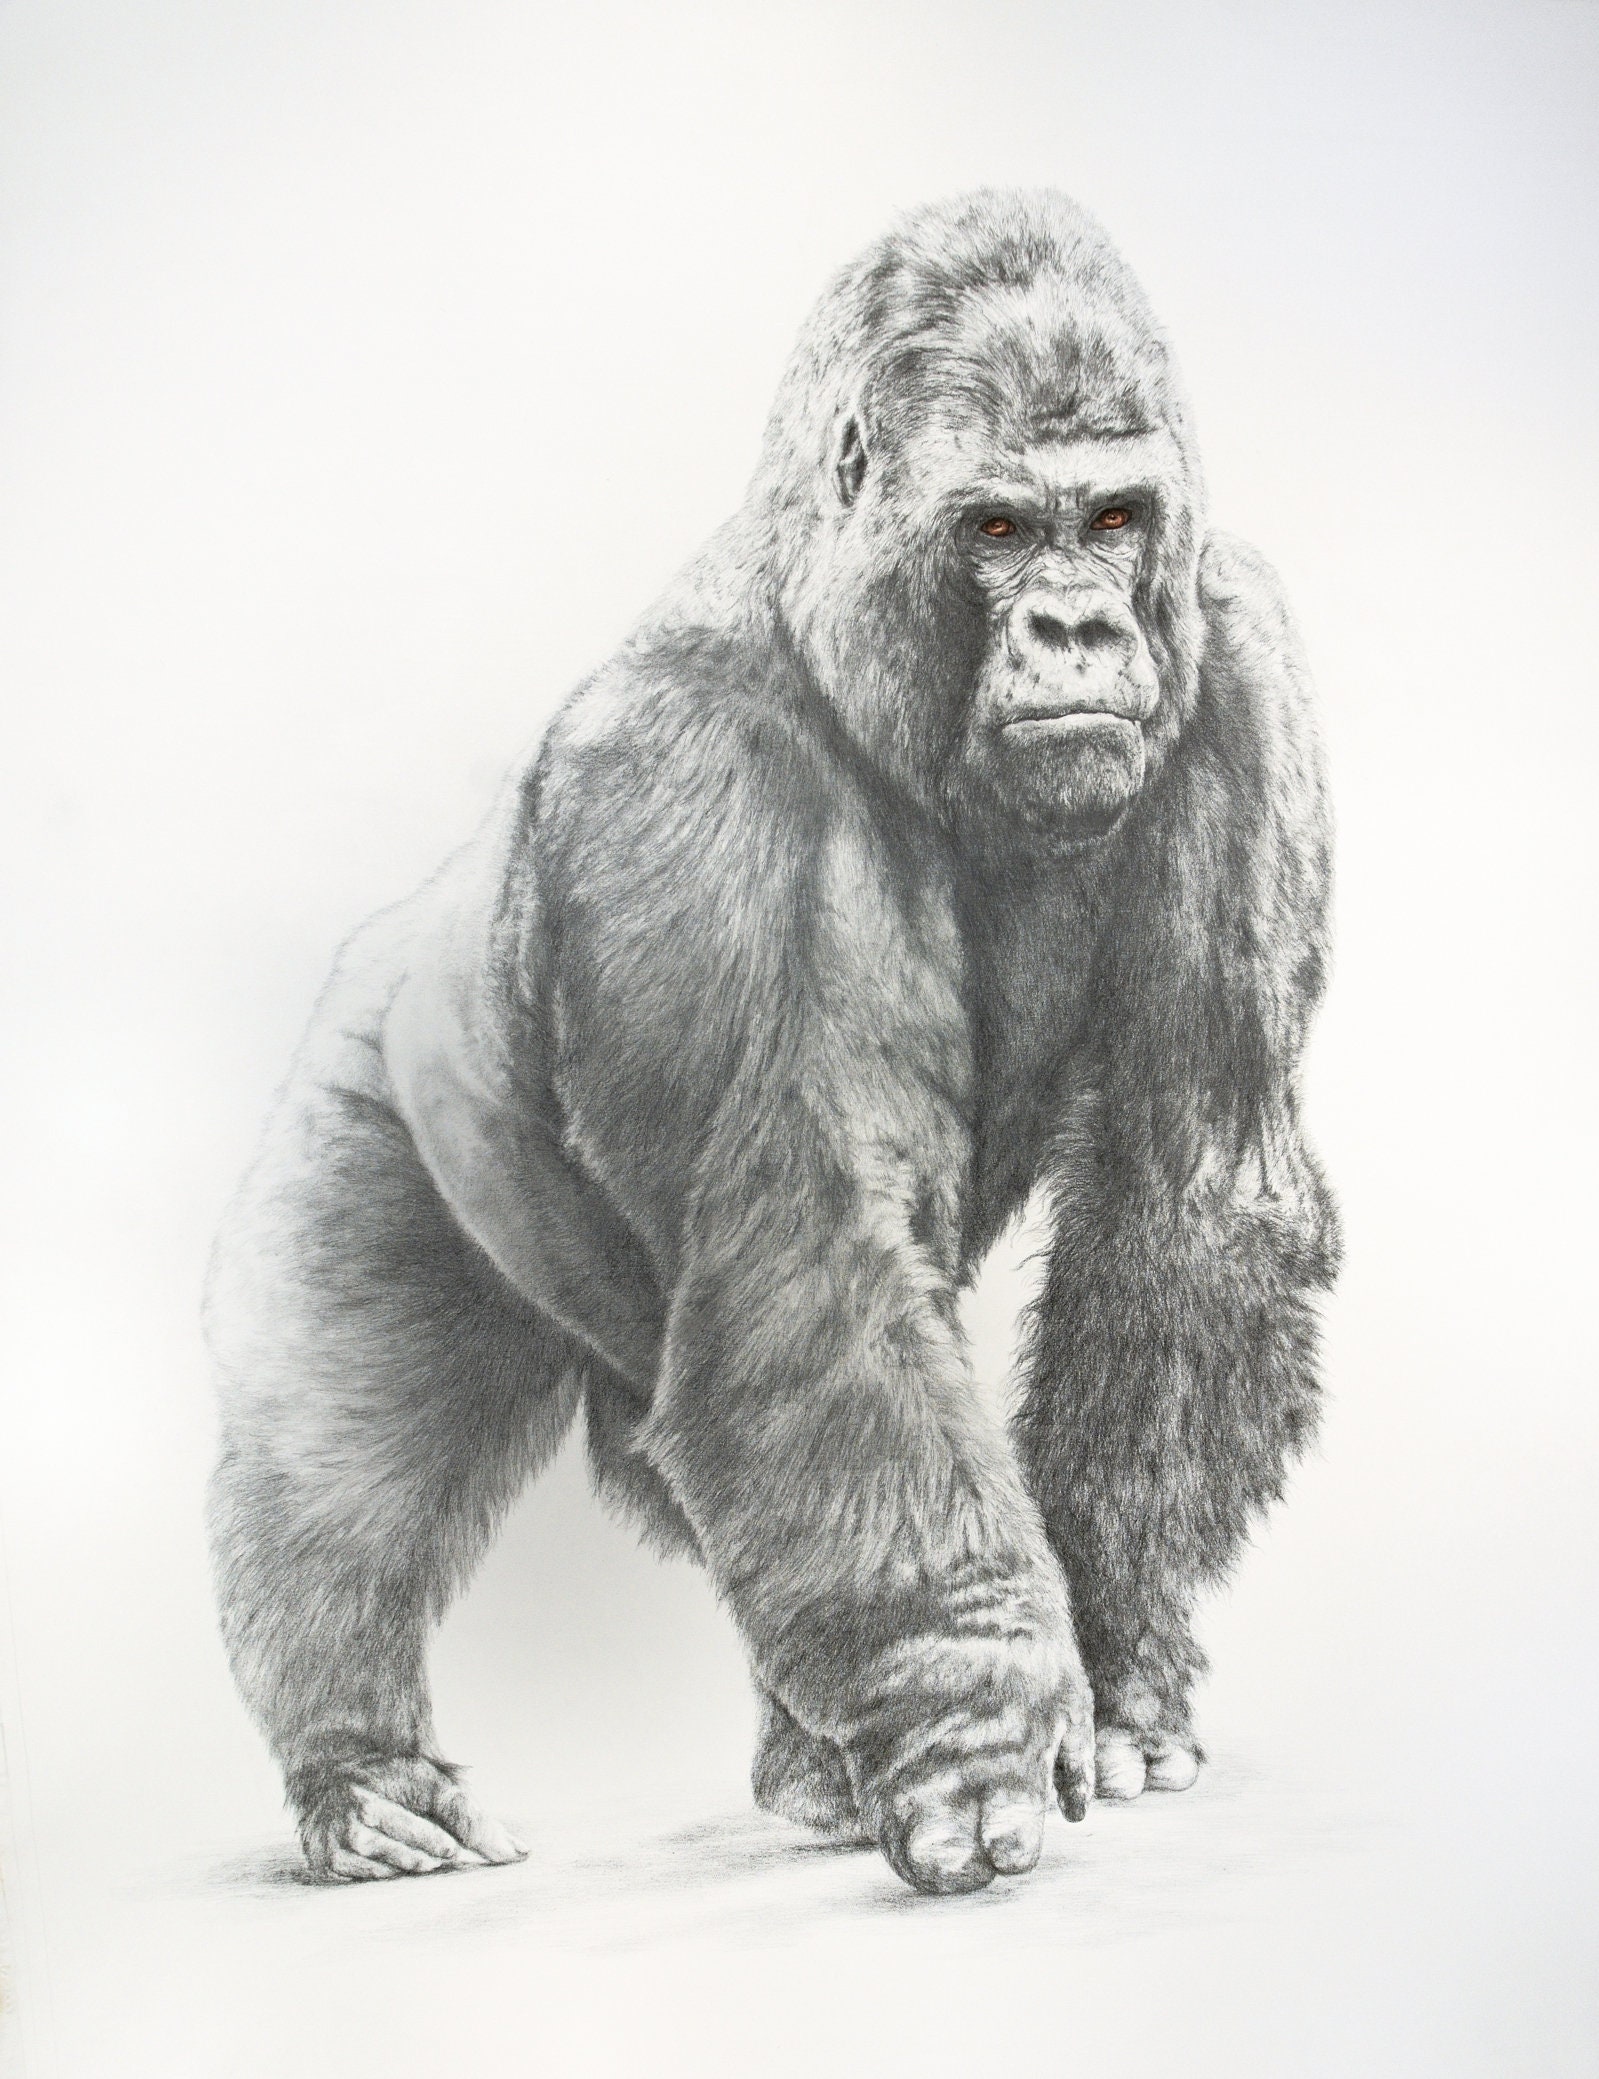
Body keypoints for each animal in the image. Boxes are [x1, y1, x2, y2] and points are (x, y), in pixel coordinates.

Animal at [206, 188, 1338, 1897]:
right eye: (995, 531)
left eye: (1112, 519)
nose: (1076, 624)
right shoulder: (688, 774)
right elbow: (809, 1256)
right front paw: (974, 1724)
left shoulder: (1242, 663)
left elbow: (1190, 1178)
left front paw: (1116, 1654)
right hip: (365, 1072)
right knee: (338, 1438)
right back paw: (361, 1760)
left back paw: (805, 1759)